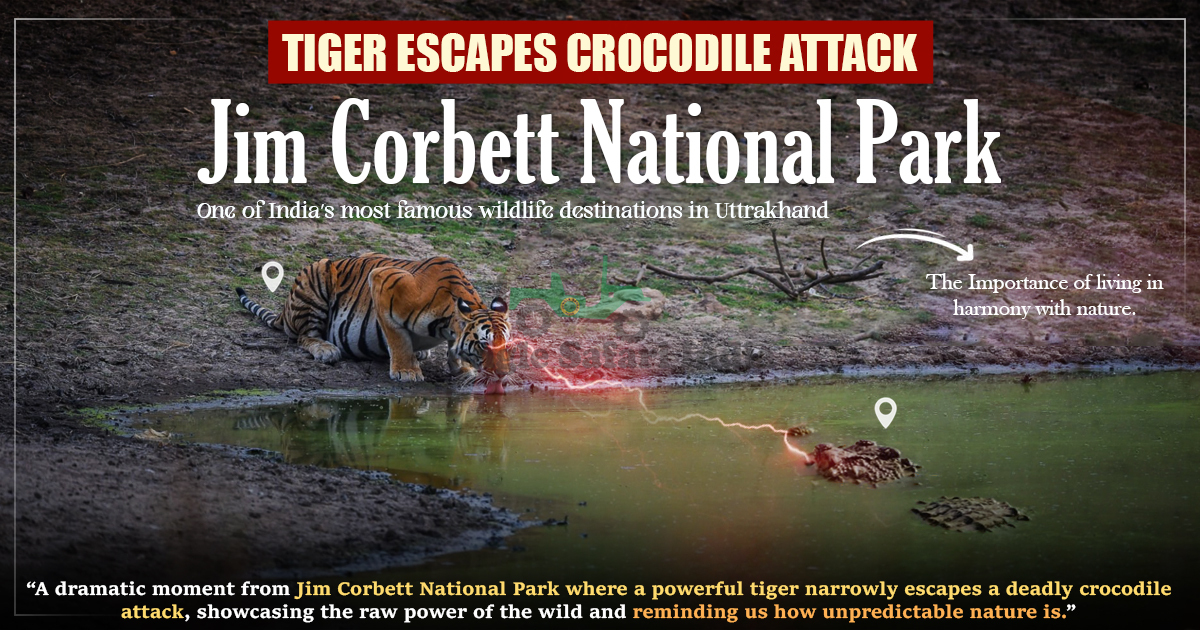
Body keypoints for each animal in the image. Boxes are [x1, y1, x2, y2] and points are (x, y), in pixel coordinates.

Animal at [235, 254, 511, 394]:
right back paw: (325, 349)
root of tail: (285, 309)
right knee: (304, 336)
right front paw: (407, 371)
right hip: (317, 276)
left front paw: (461, 367)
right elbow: (398, 339)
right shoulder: (382, 279)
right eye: (484, 345)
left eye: (507, 346)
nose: (503, 374)